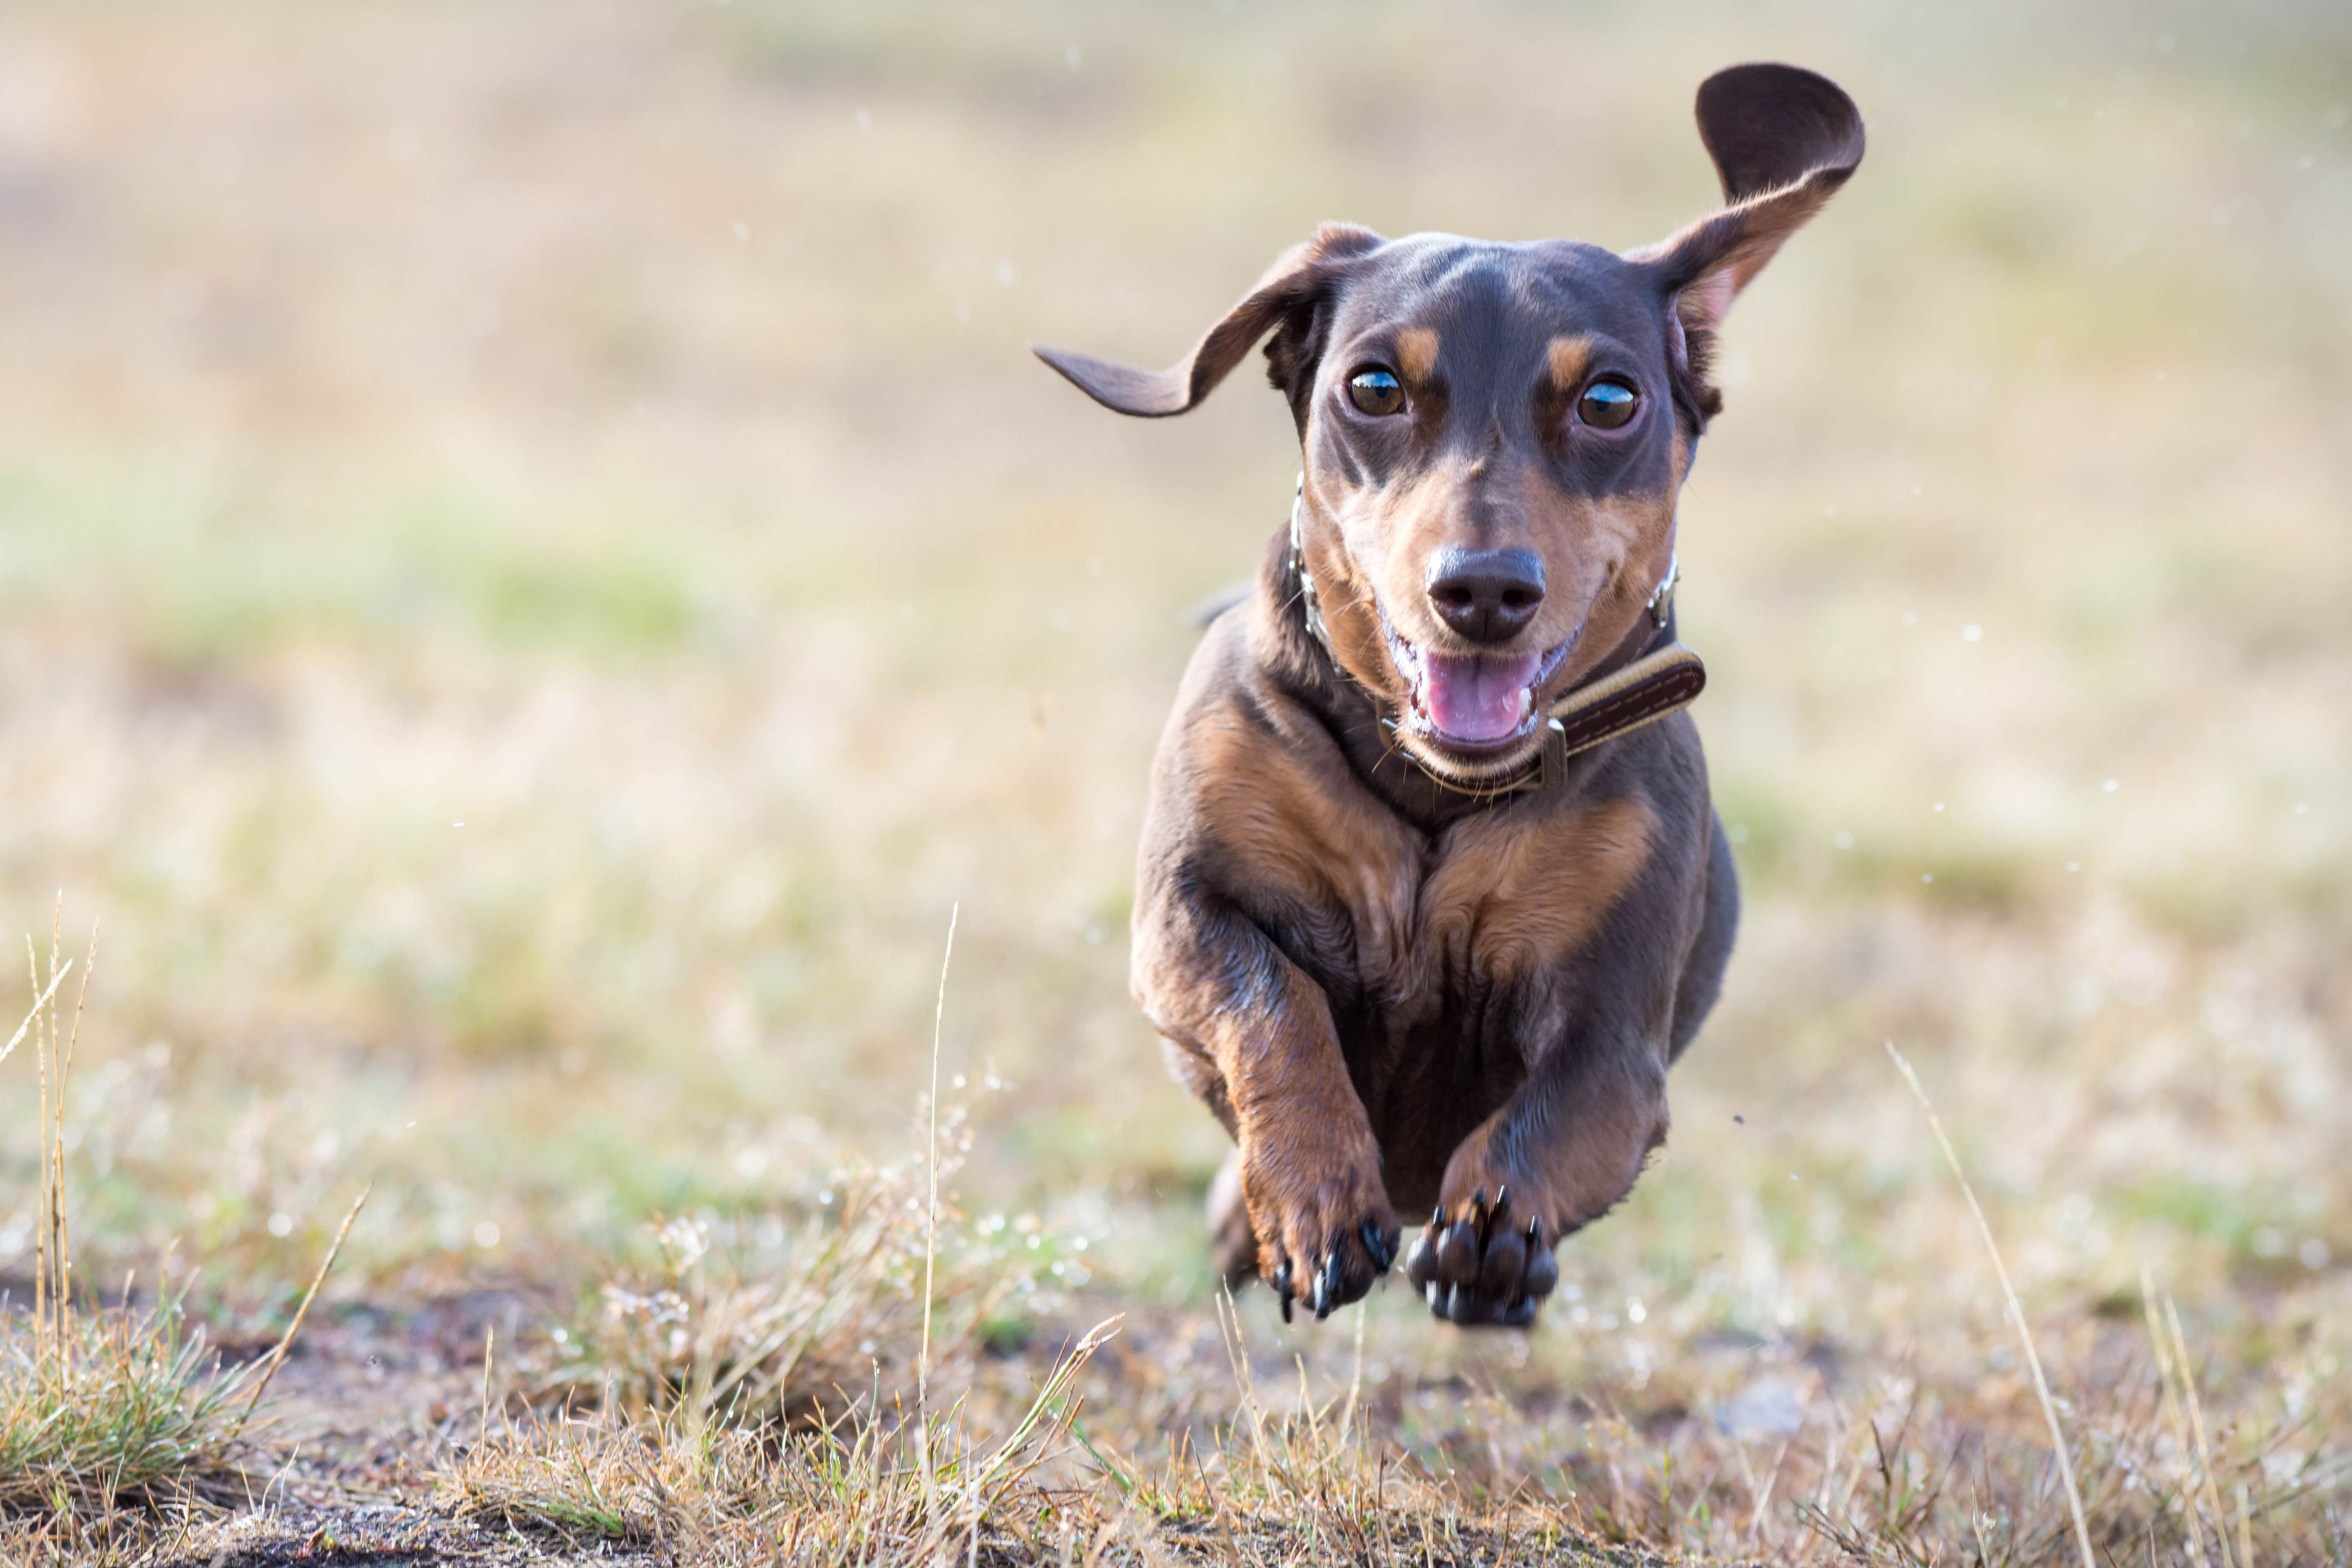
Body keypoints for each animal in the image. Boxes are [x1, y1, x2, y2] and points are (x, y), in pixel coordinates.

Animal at [1039, 68, 1863, 1335]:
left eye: (1608, 400)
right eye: (1372, 385)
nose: (1481, 590)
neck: (1430, 785)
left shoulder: (1616, 1035)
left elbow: (1556, 1116)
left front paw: (1494, 1235)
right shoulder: (1180, 921)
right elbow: (1270, 1005)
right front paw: (1311, 1197)